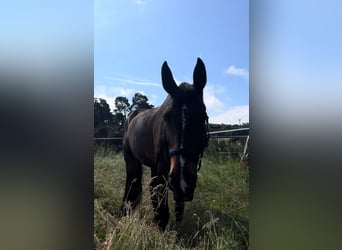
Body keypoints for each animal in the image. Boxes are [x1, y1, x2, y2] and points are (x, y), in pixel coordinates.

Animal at [121, 58, 210, 230]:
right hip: (131, 160)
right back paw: (125, 209)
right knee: (132, 183)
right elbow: (162, 213)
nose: (182, 179)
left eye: (203, 116)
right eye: (166, 117)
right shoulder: (163, 171)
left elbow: (176, 207)